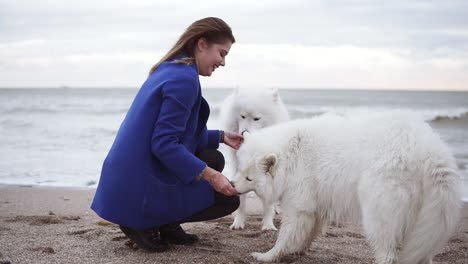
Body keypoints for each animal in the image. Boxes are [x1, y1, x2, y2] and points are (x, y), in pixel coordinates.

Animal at [218, 87, 288, 230]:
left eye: (257, 118)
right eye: (242, 116)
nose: (244, 132)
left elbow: (267, 203)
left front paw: (268, 225)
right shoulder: (238, 167)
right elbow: (241, 199)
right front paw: (238, 223)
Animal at [232, 112, 462, 264]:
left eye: (249, 178)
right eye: (240, 169)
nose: (232, 184)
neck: (291, 154)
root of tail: (429, 148)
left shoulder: (298, 205)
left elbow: (286, 235)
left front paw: (268, 255)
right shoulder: (315, 202)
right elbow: (306, 232)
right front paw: (298, 250)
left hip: (378, 211)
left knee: (387, 252)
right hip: (422, 219)